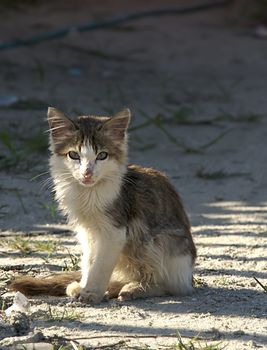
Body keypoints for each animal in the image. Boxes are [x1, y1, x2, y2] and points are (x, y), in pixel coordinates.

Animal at [9, 107, 197, 304]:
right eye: (74, 155)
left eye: (102, 156)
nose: (87, 173)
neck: (88, 193)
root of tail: (189, 278)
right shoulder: (87, 232)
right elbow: (89, 262)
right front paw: (84, 287)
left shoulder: (114, 232)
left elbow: (100, 266)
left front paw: (91, 293)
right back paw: (111, 287)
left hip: (159, 243)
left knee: (166, 285)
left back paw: (134, 288)